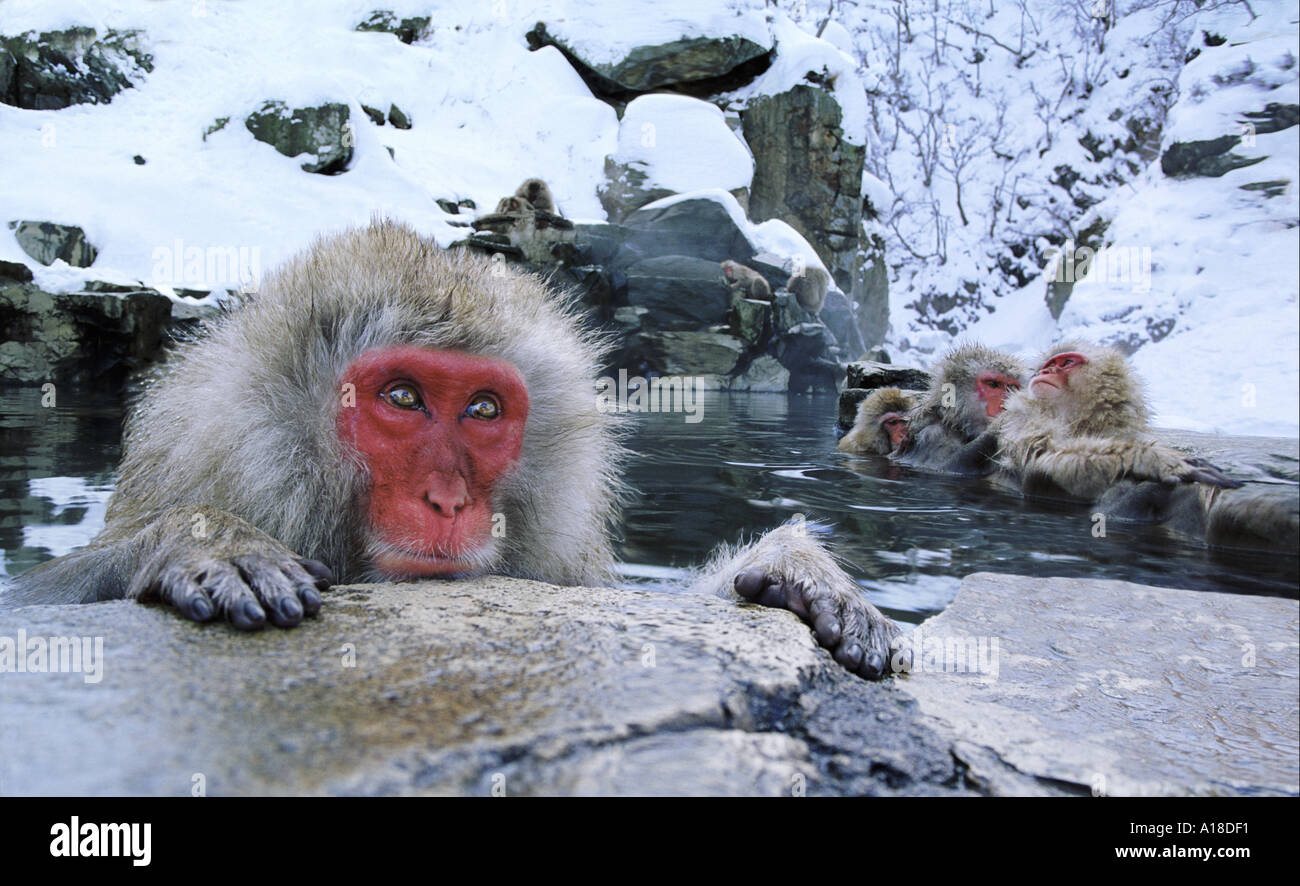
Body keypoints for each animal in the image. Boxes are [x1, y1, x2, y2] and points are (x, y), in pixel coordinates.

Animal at [894, 340, 1024, 475]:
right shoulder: (932, 434)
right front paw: (1001, 424)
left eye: (1012, 388)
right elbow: (944, 467)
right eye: (993, 384)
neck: (955, 423)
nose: (1006, 403)